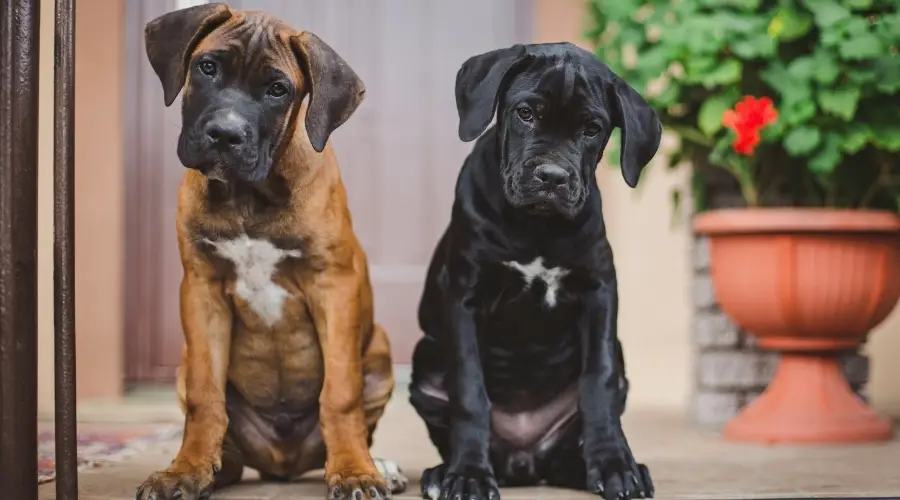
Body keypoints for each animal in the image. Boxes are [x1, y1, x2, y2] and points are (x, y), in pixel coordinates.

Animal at [134, 3, 408, 500]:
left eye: (278, 90)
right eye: (207, 67)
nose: (225, 135)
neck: (249, 196)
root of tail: (283, 463)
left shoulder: (333, 287)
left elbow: (340, 394)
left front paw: (355, 472)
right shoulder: (200, 291)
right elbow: (205, 396)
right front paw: (184, 470)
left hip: (378, 348)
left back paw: (376, 463)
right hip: (185, 362)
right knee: (224, 440)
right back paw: (209, 469)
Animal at [412, 42, 664, 500]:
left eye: (592, 128)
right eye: (525, 113)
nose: (552, 177)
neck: (536, 226)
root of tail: (525, 461)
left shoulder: (599, 291)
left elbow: (598, 380)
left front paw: (615, 466)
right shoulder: (464, 295)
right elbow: (470, 391)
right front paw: (468, 475)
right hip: (425, 360)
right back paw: (444, 473)